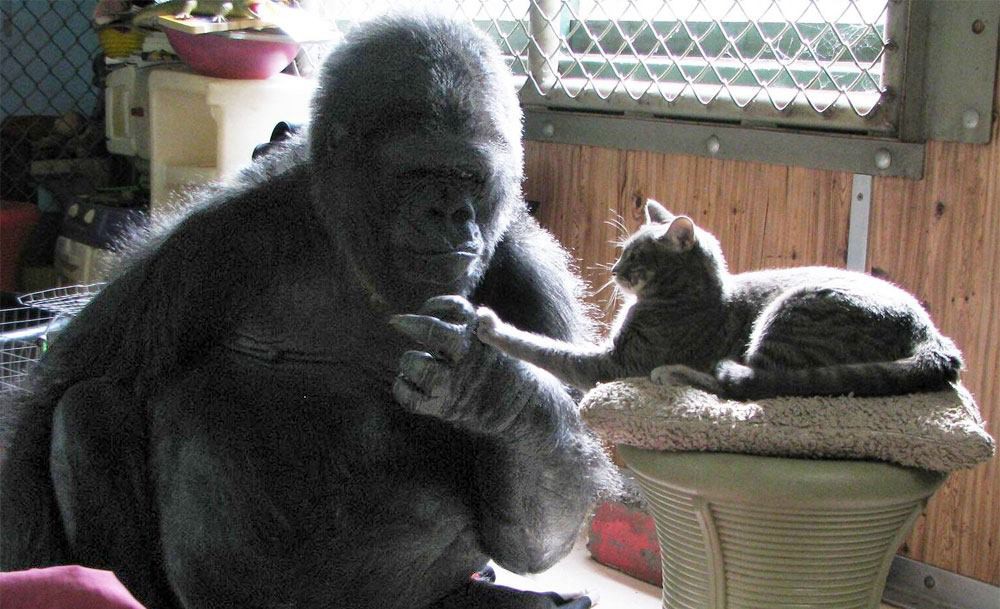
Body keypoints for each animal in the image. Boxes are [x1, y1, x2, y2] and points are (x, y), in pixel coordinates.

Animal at [0, 13, 616, 609]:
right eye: (417, 173)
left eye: (469, 176)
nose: (450, 213)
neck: (357, 260)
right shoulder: (207, 238)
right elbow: (56, 391)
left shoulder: (538, 286)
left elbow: (533, 538)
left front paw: (492, 391)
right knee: (86, 406)